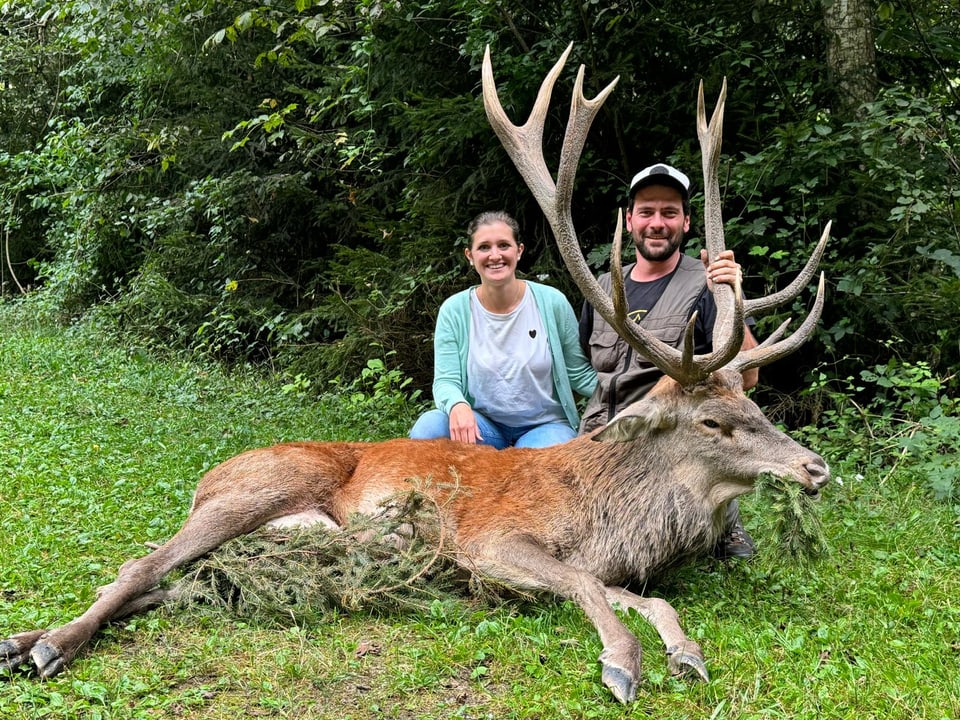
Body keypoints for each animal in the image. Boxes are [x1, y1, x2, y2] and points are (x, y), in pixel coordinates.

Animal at [0, 45, 832, 704]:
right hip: (262, 485)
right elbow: (589, 589)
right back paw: (47, 646)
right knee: (142, 561)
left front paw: (685, 653)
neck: (613, 516)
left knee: (181, 580)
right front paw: (622, 665)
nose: (815, 468)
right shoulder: (493, 541)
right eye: (713, 420)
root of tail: (209, 474)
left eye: (754, 407)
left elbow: (650, 603)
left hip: (284, 542)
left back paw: (24, 640)